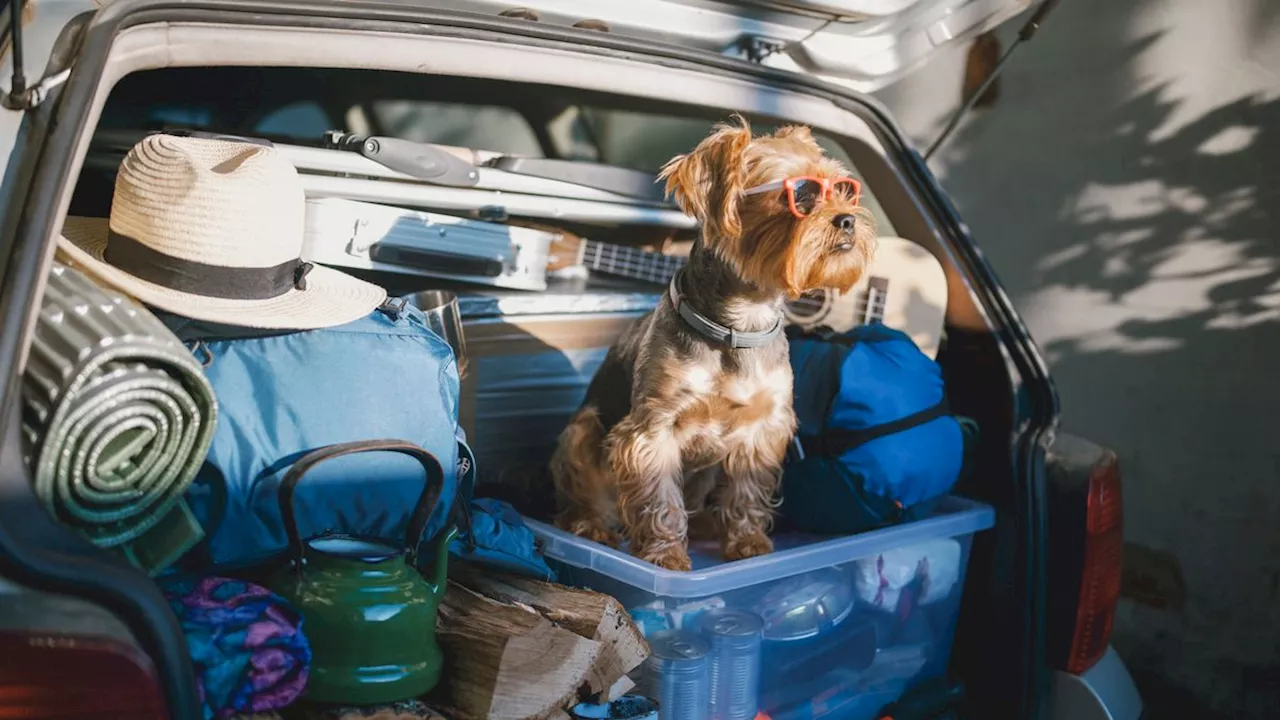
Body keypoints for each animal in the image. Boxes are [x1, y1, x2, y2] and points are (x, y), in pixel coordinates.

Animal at [545, 116, 875, 566]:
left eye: (844, 189)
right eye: (800, 194)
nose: (847, 220)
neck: (741, 323)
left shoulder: (763, 426)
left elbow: (747, 488)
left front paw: (748, 542)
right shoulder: (653, 428)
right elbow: (660, 497)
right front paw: (665, 555)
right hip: (581, 431)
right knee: (582, 497)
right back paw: (593, 525)